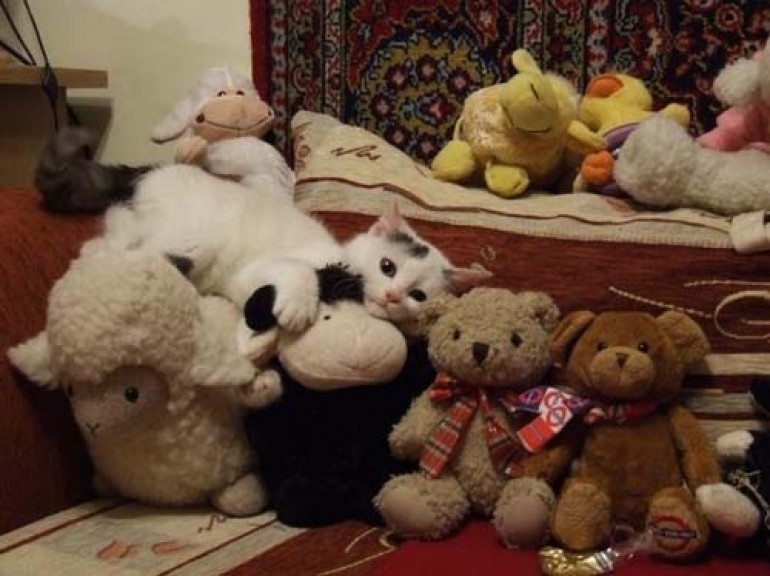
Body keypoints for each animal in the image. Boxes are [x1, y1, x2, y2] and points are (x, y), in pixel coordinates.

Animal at [37, 128, 492, 335]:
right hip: (189, 235)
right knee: (113, 244)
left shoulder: (242, 285)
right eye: (387, 266)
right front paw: (297, 308)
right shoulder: (267, 267)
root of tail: (152, 169)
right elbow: (301, 271)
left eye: (419, 297)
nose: (394, 296)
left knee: (110, 232)